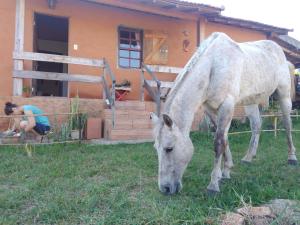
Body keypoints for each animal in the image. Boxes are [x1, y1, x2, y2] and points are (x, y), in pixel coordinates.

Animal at [152, 32, 298, 195]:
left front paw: (213, 184)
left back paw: (292, 157)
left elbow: (219, 143)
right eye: (156, 148)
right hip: (251, 102)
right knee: (256, 125)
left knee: (287, 124)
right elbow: (225, 139)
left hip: (283, 95)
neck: (213, 65)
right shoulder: (210, 109)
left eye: (169, 148)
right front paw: (226, 171)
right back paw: (248, 157)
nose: (165, 188)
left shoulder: (227, 106)